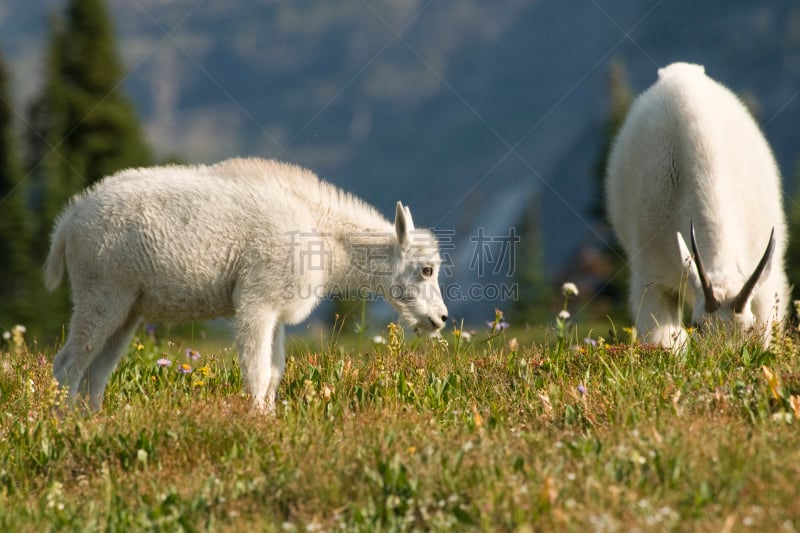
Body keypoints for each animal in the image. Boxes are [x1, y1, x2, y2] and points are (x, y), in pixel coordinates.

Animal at [45, 156, 450, 410]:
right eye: (426, 269)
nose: (441, 319)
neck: (322, 236)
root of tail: (68, 222)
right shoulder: (257, 301)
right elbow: (257, 373)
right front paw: (255, 424)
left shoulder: (278, 312)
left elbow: (274, 373)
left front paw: (269, 420)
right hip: (101, 292)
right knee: (68, 365)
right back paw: (63, 424)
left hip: (128, 307)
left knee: (96, 372)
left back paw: (92, 422)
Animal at [608, 62, 788, 350]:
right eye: (699, 327)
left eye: (748, 328)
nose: (725, 358)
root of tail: (680, 70)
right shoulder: (654, 278)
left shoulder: (765, 281)